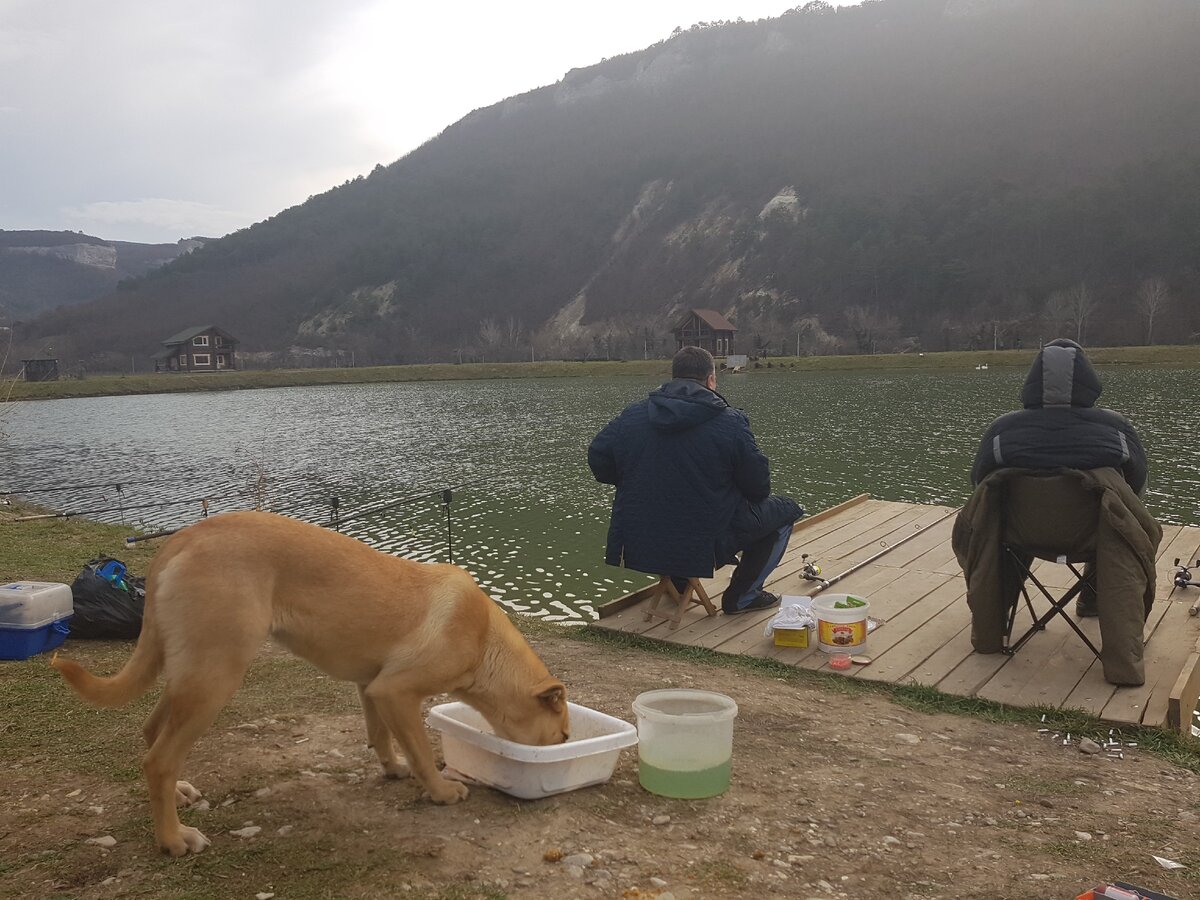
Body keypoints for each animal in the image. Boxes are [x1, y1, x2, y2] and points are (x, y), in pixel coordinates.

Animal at [50, 511, 566, 854]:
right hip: (215, 678)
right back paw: (174, 839)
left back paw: (180, 795)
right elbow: (421, 750)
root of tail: (182, 540)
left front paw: (392, 768)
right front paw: (440, 791)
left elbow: (381, 736)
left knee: (152, 733)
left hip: (190, 673)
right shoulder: (398, 692)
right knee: (158, 760)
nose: (560, 747)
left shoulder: (372, 688)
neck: (483, 643)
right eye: (561, 735)